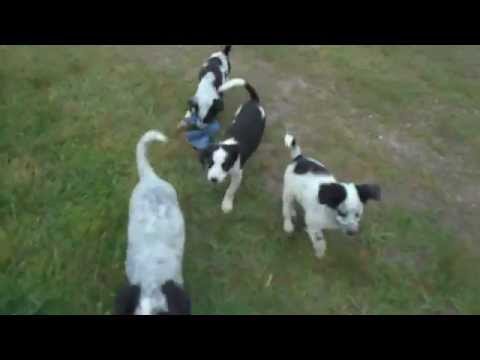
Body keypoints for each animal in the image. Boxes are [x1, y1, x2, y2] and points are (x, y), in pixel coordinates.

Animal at [199, 79, 266, 214]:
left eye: (225, 165)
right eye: (210, 162)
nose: (213, 179)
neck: (229, 144)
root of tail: (254, 102)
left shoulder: (237, 175)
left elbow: (230, 190)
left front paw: (227, 204)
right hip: (238, 111)